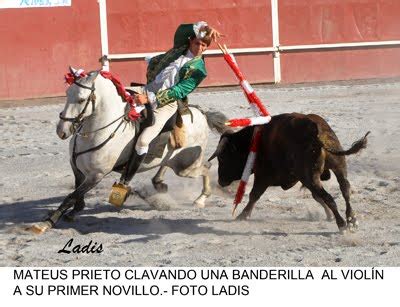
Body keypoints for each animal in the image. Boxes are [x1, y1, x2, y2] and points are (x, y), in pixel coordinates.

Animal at [209, 113, 368, 233]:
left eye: (222, 157)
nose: (221, 181)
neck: (253, 142)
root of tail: (317, 133)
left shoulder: (263, 176)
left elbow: (254, 195)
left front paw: (243, 215)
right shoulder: (304, 179)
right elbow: (317, 197)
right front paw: (328, 215)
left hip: (311, 176)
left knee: (330, 197)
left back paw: (342, 225)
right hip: (337, 168)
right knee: (345, 189)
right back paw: (351, 220)